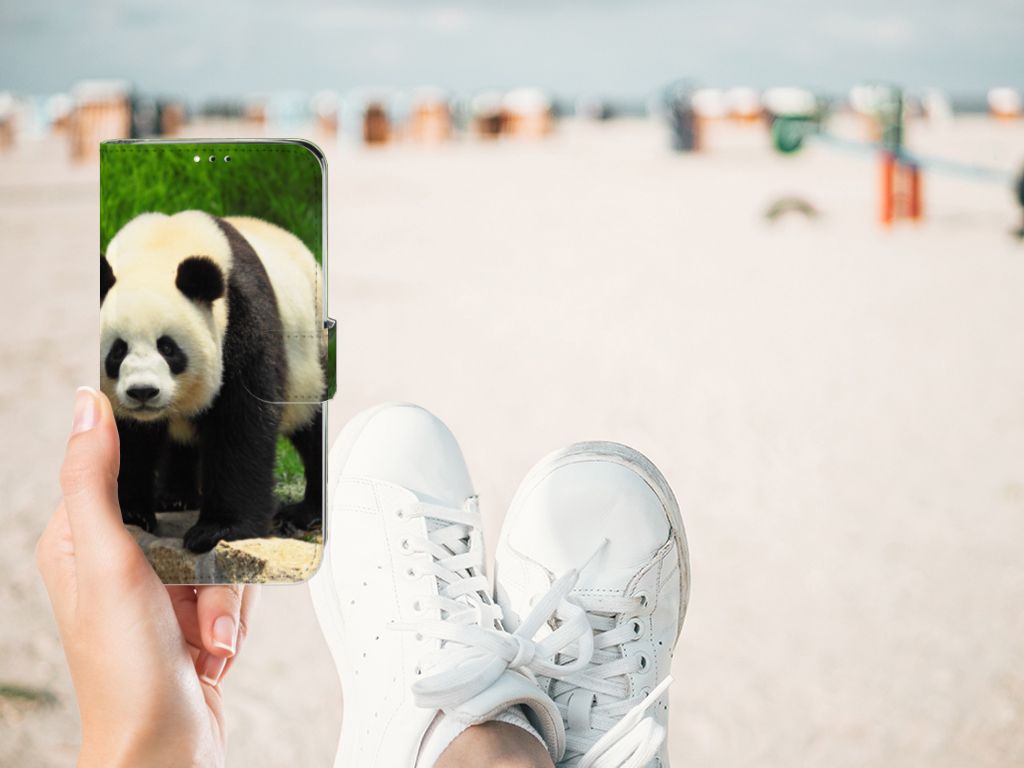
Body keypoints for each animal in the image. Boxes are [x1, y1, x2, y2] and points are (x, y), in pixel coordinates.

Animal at [100, 210, 325, 553]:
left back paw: (305, 513)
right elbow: (128, 436)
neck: (159, 250)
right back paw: (176, 497)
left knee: (312, 425)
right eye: (117, 351)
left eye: (168, 348)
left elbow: (241, 423)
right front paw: (131, 513)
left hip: (310, 362)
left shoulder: (241, 318)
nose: (143, 392)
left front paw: (218, 529)